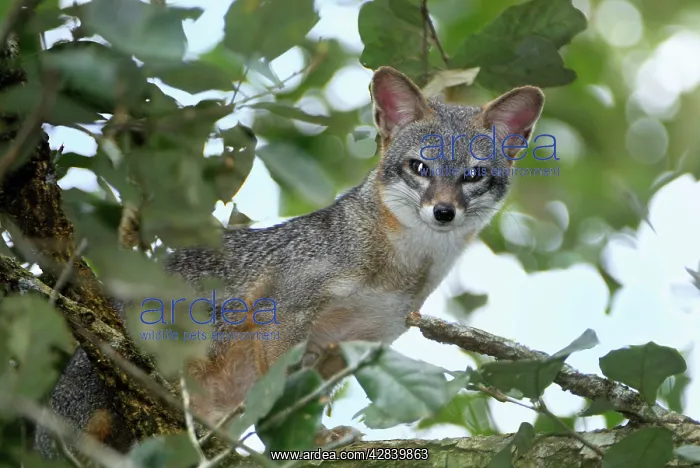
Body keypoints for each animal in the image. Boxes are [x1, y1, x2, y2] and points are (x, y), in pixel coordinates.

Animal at [37, 66, 545, 456]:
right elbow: (279, 398)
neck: (398, 272)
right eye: (419, 167)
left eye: (473, 175)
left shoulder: (346, 349)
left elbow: (304, 400)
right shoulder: (284, 312)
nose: (442, 211)